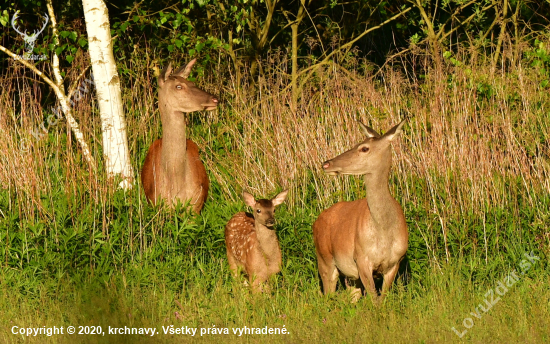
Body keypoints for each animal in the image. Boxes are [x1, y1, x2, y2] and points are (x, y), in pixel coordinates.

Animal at [312, 120, 408, 304]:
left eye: (364, 148)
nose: (326, 163)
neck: (384, 232)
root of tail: (316, 221)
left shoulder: (395, 262)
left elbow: (382, 299)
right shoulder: (361, 257)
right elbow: (375, 300)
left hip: (349, 275)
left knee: (352, 295)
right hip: (324, 257)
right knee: (328, 294)